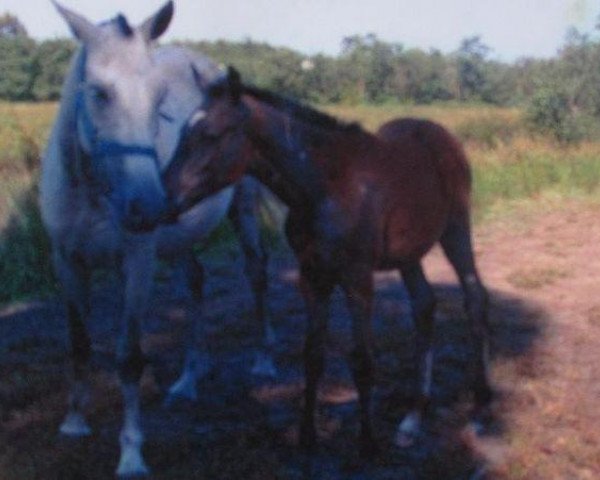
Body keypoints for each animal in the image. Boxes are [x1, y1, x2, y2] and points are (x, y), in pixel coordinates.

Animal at [41, 1, 280, 476]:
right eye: (99, 92)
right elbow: (78, 344)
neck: (93, 191)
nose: (148, 205)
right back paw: (188, 378)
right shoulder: (67, 260)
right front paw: (74, 421)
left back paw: (263, 360)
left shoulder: (138, 260)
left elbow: (129, 358)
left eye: (159, 98)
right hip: (182, 237)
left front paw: (131, 453)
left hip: (242, 210)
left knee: (256, 273)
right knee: (196, 281)